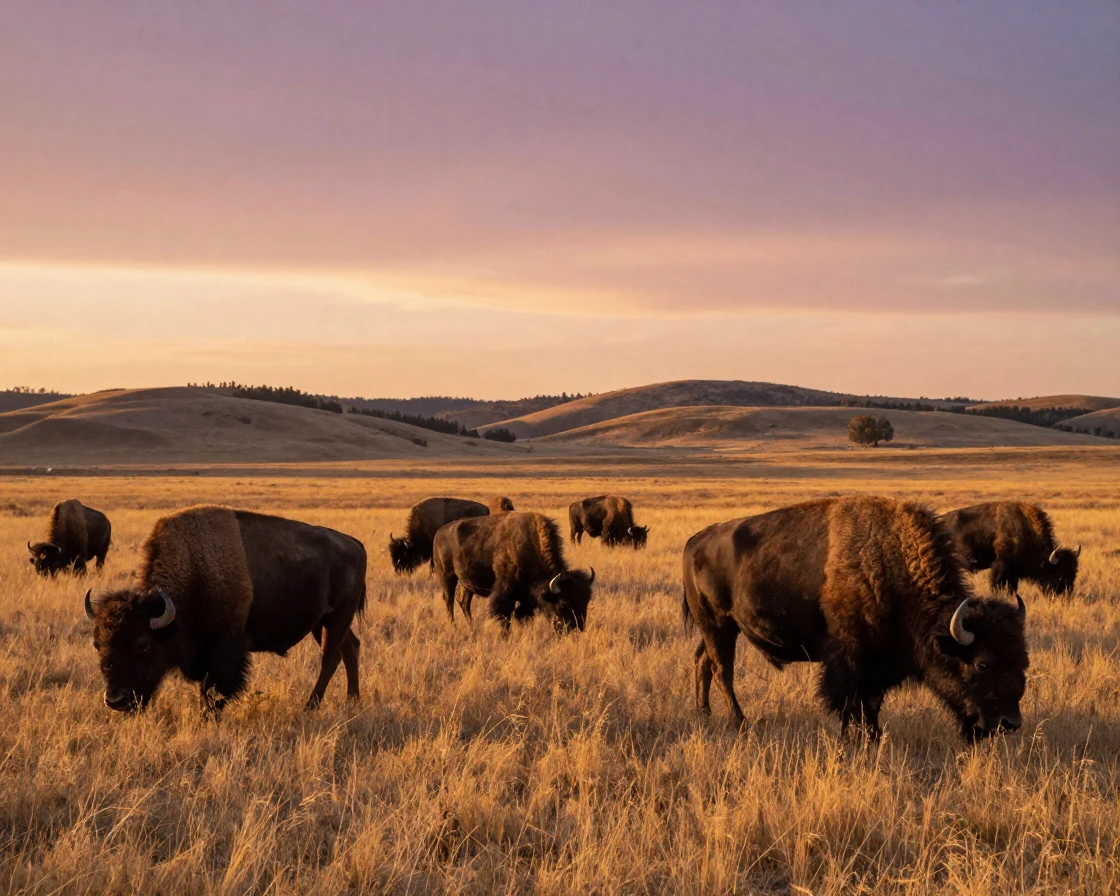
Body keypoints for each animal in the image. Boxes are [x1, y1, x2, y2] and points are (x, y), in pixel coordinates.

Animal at [84, 505, 367, 713]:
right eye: (97, 644)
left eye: (142, 644)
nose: (115, 700)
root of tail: (355, 544)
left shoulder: (225, 647)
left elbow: (215, 687)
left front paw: (210, 714)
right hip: (322, 623)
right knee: (350, 648)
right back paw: (352, 700)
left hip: (338, 616)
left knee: (330, 657)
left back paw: (311, 706)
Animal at [432, 511, 595, 632]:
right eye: (563, 604)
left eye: (585, 600)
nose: (576, 628)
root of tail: (439, 533)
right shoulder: (504, 592)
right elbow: (504, 615)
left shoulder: (526, 597)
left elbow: (521, 614)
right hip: (447, 576)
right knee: (449, 601)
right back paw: (453, 626)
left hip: (466, 583)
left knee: (464, 602)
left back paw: (472, 627)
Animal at [682, 496, 1029, 741]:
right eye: (982, 663)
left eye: (1023, 661)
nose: (1009, 723)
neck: (893, 567)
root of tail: (695, 540)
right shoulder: (850, 658)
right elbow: (850, 702)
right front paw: (852, 738)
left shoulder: (880, 663)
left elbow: (872, 703)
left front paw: (874, 736)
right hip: (717, 625)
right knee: (722, 670)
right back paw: (739, 722)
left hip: (716, 629)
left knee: (702, 662)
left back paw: (703, 713)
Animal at [943, 501, 1080, 596]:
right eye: (1060, 575)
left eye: (1074, 574)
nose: (1066, 597)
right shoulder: (1001, 566)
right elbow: (996, 585)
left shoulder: (1014, 573)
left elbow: (1012, 589)